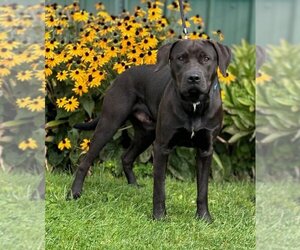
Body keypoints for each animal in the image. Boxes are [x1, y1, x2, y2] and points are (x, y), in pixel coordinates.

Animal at [69, 38, 231, 221]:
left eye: (206, 58)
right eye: (181, 58)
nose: (193, 77)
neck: (194, 105)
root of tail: (120, 76)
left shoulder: (205, 150)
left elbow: (203, 190)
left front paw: (204, 217)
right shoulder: (161, 147)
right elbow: (159, 188)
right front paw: (159, 216)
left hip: (145, 134)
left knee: (126, 157)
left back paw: (133, 186)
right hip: (108, 125)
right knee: (85, 162)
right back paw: (74, 193)